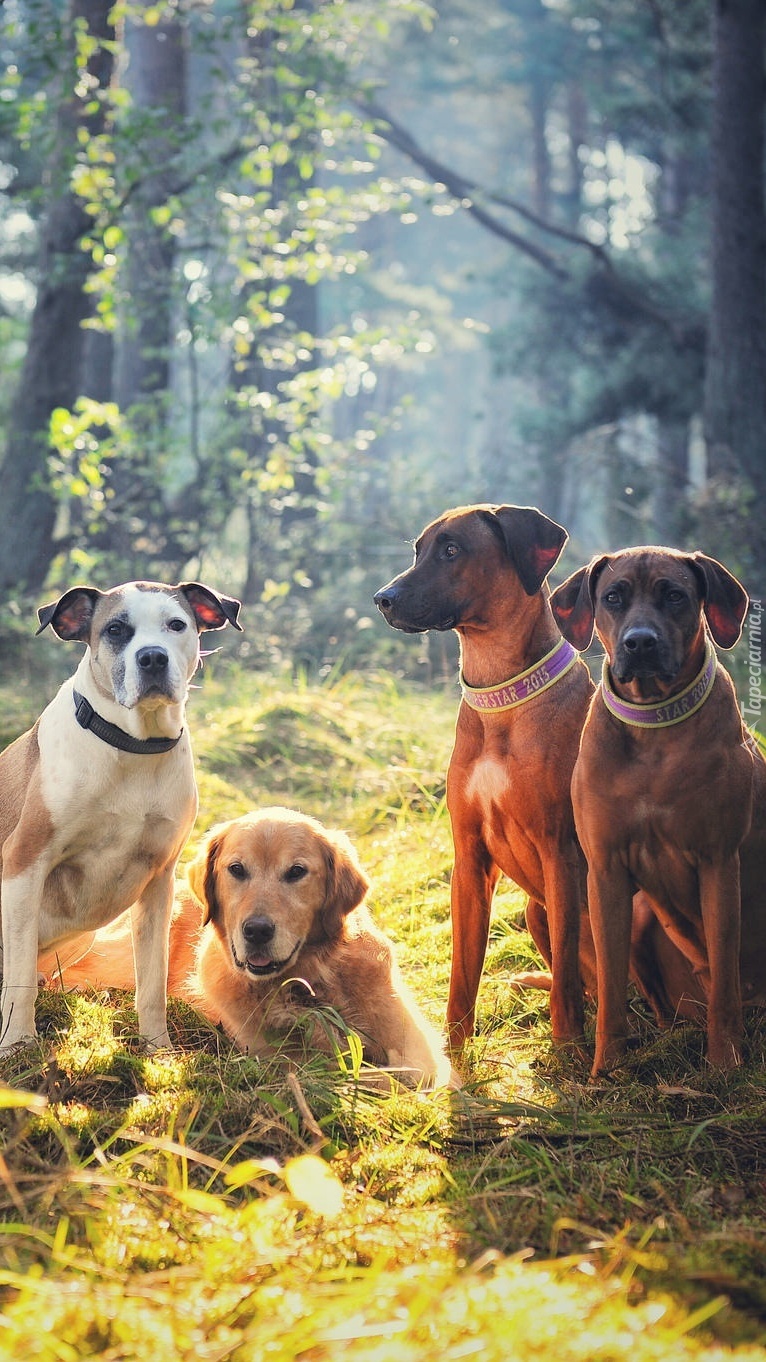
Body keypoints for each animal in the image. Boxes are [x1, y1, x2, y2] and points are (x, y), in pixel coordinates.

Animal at [0, 582, 239, 1051]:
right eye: (115, 629)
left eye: (176, 625)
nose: (152, 657)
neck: (133, 745)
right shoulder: (24, 864)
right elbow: (18, 979)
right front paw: (17, 1042)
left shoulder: (159, 881)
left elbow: (152, 980)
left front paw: (157, 1046)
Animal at [52, 811, 452, 1089]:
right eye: (237, 869)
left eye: (296, 872)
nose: (257, 931)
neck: (303, 984)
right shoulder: (275, 1057)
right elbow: (358, 1075)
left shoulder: (419, 1045)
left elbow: (416, 1074)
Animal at [376, 506, 596, 1046]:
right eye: (419, 549)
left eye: (452, 550)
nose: (382, 599)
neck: (501, 696)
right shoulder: (469, 856)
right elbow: (463, 974)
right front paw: (453, 1051)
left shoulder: (560, 853)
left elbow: (565, 982)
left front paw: (568, 1050)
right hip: (534, 910)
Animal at [547, 542, 763, 1073]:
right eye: (613, 597)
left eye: (674, 596)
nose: (639, 643)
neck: (653, 726)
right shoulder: (604, 871)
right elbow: (610, 985)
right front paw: (607, 1066)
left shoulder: (718, 863)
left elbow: (725, 974)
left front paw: (724, 1063)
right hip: (643, 913)